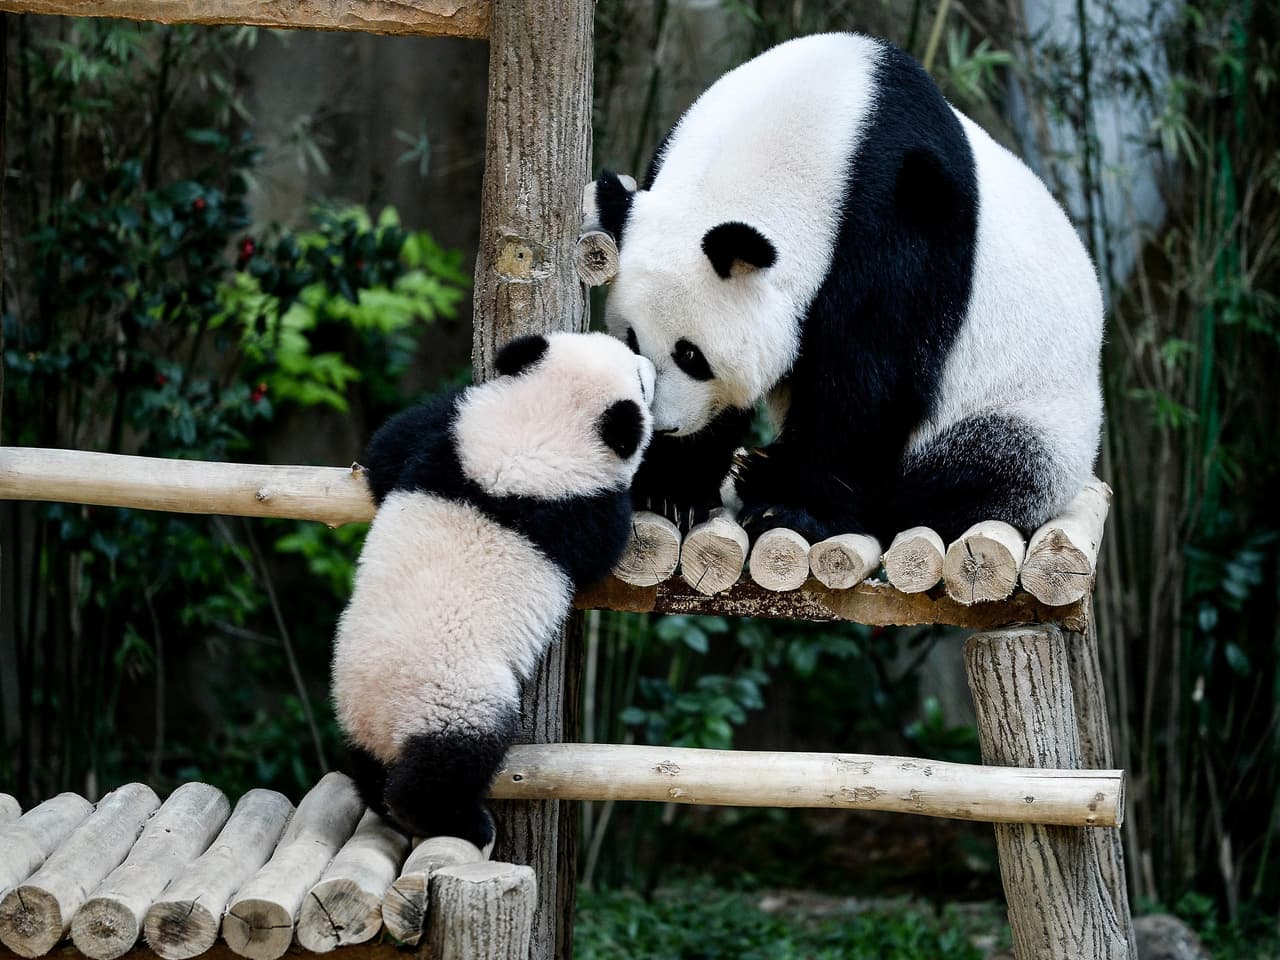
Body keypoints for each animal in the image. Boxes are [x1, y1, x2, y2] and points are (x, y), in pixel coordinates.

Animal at [332, 331, 655, 848]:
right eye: (641, 381)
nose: (652, 366)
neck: (531, 436)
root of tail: (383, 725)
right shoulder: (578, 511)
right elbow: (607, 544)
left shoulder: (446, 446)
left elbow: (389, 447)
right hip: (458, 698)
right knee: (454, 760)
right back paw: (450, 819)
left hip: (352, 696)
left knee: (365, 764)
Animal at [592, 32, 1103, 545]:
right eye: (631, 339)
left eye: (691, 355)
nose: (667, 426)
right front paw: (671, 489)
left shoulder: (898, 222)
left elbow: (865, 380)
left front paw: (791, 506)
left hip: (1029, 417)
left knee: (975, 474)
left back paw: (770, 477)